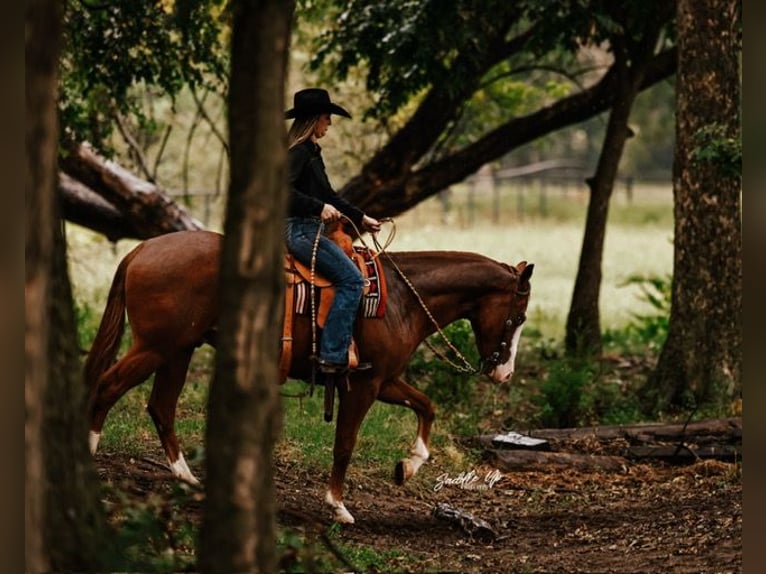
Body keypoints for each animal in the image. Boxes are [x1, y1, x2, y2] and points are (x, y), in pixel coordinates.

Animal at [84, 229, 533, 524]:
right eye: (518, 318)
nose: (504, 372)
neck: (402, 301)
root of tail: (141, 250)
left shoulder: (384, 380)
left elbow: (427, 406)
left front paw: (408, 466)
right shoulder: (363, 386)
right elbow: (345, 445)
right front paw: (338, 505)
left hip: (178, 350)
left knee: (161, 406)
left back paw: (188, 480)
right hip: (156, 347)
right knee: (107, 387)